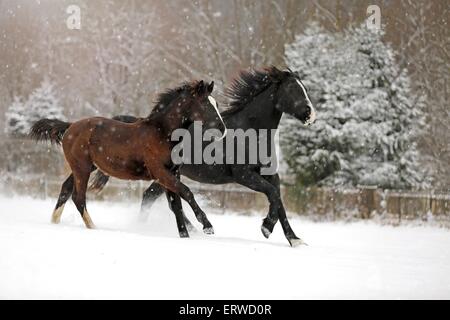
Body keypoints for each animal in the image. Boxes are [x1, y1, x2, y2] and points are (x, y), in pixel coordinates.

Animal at [29, 80, 225, 238]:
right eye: (205, 104)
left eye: (216, 103)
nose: (222, 129)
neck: (162, 134)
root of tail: (70, 126)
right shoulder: (161, 173)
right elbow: (186, 192)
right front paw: (207, 226)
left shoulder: (172, 173)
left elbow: (176, 204)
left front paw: (185, 235)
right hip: (82, 168)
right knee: (78, 197)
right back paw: (93, 227)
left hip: (87, 167)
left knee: (66, 189)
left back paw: (55, 222)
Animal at [91, 66, 316, 246]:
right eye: (292, 89)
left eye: (304, 88)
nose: (311, 114)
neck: (251, 132)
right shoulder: (244, 176)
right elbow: (272, 194)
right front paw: (266, 227)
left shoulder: (271, 174)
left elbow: (278, 199)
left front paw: (294, 239)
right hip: (167, 174)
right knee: (160, 198)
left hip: (167, 175)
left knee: (153, 197)